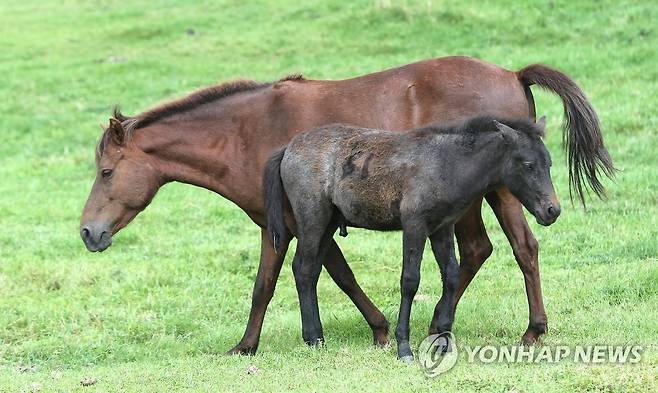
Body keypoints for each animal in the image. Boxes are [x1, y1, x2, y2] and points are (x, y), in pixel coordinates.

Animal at [262, 115, 560, 358]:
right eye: (528, 164)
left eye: (549, 163)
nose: (552, 210)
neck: (446, 163)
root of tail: (288, 148)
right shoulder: (414, 225)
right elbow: (410, 281)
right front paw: (403, 346)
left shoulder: (442, 228)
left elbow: (451, 276)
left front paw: (443, 342)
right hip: (313, 219)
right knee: (303, 269)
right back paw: (313, 337)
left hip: (328, 223)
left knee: (309, 271)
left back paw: (316, 338)